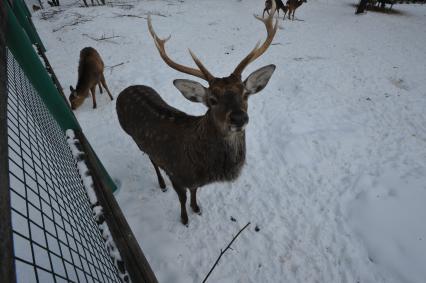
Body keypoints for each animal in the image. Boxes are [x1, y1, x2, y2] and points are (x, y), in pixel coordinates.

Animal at [116, 3, 280, 225]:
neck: (200, 166)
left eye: (245, 93)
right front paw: (184, 219)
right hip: (134, 138)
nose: (238, 118)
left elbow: (194, 191)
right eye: (212, 100)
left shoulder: (194, 181)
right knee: (151, 159)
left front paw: (197, 208)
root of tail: (125, 90)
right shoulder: (175, 173)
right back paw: (161, 184)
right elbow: (182, 197)